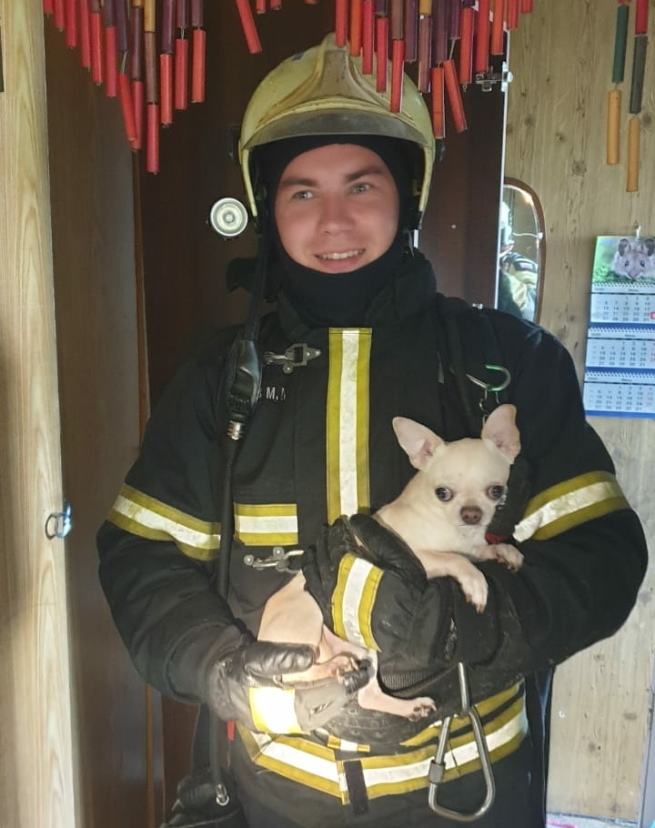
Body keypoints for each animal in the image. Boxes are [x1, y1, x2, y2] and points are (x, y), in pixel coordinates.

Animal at [258, 404, 523, 720]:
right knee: (294, 673)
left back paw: (407, 705)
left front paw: (506, 552)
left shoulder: (471, 545)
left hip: (362, 641)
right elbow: (454, 559)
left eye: (496, 491)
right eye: (442, 493)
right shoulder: (418, 558)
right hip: (310, 618)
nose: (471, 514)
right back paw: (333, 667)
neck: (455, 530)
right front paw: (476, 583)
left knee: (367, 695)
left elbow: (480, 551)